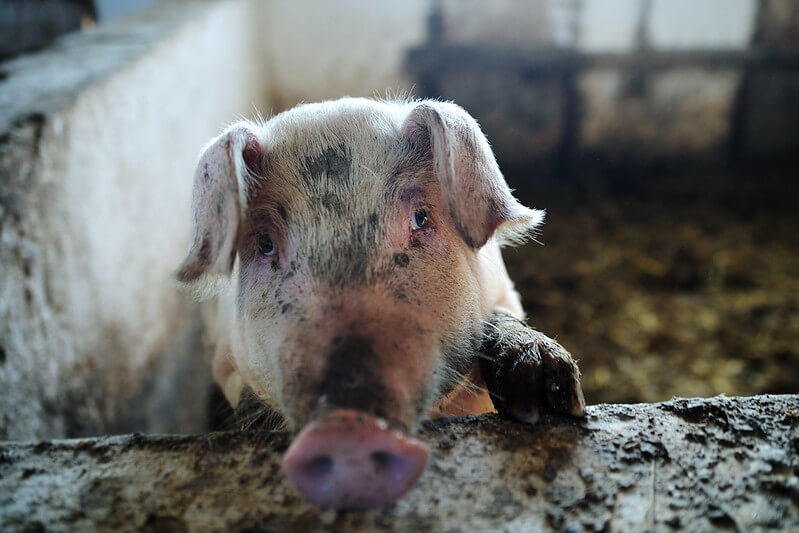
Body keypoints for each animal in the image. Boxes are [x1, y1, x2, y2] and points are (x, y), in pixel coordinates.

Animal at [177, 97, 588, 510]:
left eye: (421, 217)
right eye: (264, 244)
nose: (346, 426)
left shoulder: (505, 292)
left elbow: (503, 322)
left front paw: (549, 404)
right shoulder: (224, 354)